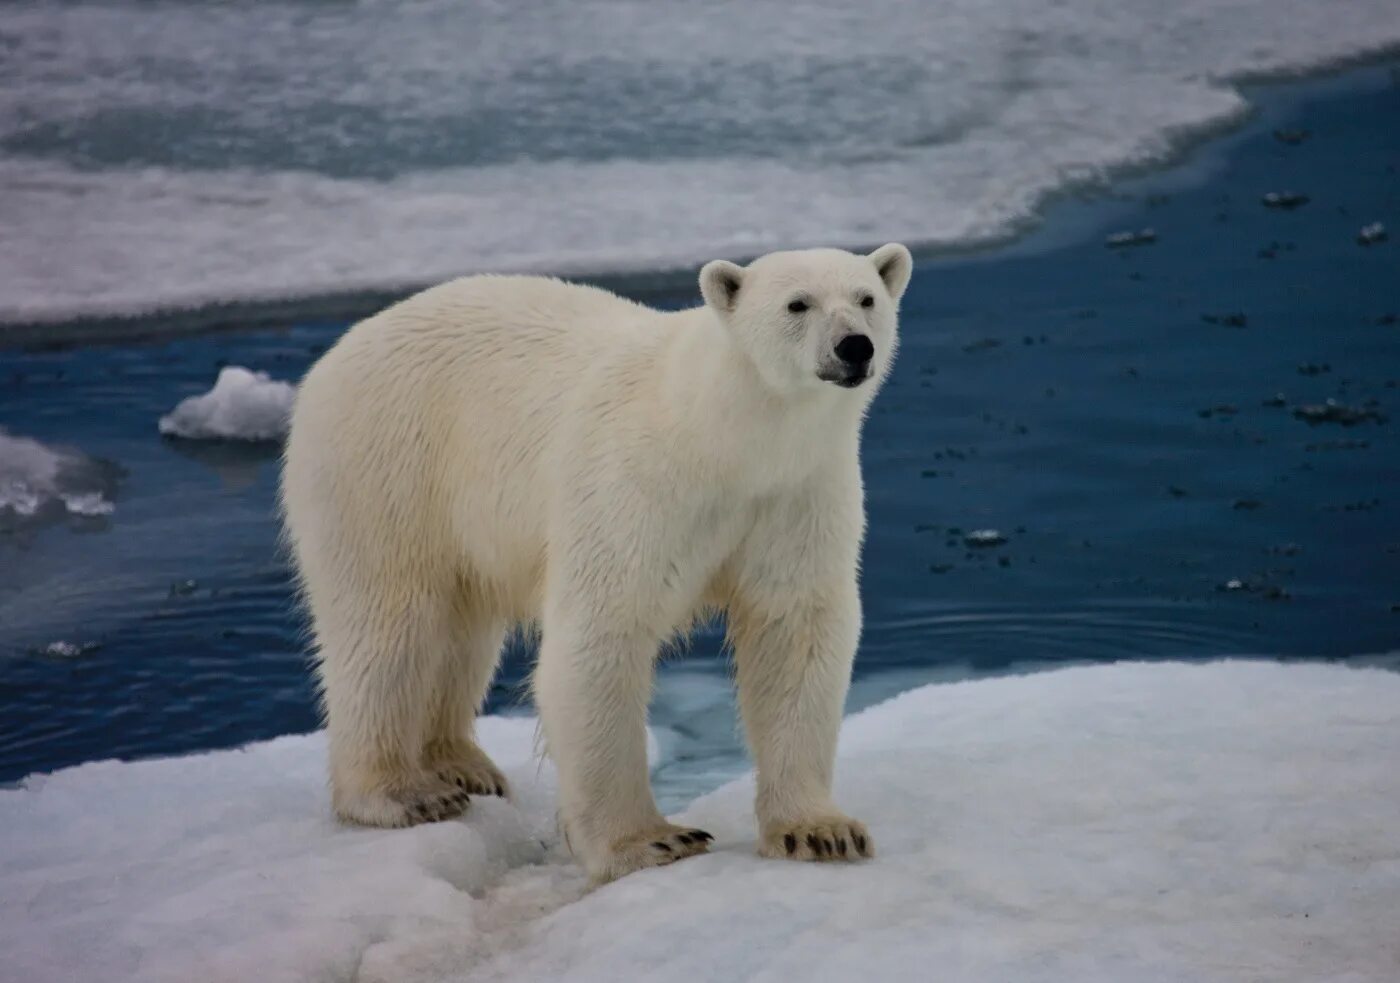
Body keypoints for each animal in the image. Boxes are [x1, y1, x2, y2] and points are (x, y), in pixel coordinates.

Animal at [281, 242, 918, 879]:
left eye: (866, 298)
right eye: (797, 303)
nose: (854, 346)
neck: (723, 437)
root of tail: (342, 350)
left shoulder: (795, 494)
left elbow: (795, 627)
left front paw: (821, 831)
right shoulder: (636, 484)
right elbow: (604, 631)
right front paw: (651, 841)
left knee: (461, 630)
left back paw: (463, 765)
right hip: (388, 467)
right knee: (389, 624)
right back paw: (402, 792)